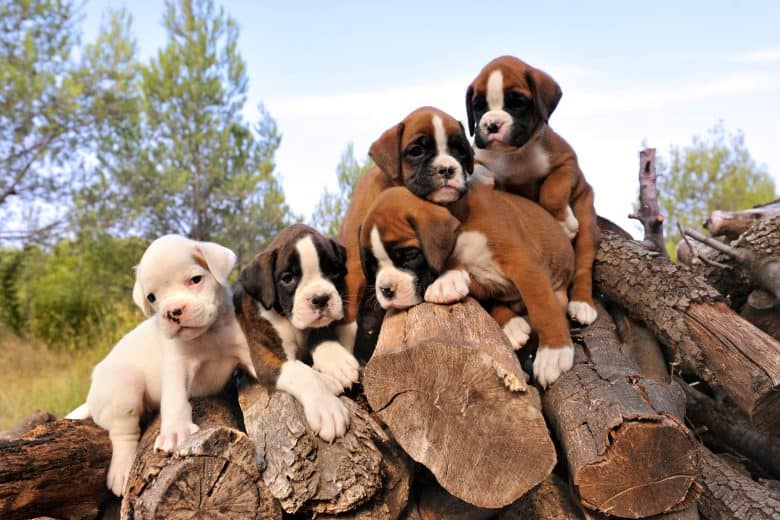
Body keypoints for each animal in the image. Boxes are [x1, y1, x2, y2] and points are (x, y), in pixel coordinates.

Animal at [66, 236, 256, 496]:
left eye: (195, 280)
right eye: (152, 297)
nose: (173, 312)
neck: (209, 333)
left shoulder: (244, 350)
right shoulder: (178, 365)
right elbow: (175, 400)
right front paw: (175, 432)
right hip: (125, 384)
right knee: (123, 433)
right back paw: (122, 470)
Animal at [233, 223, 358, 442]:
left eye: (334, 271)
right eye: (288, 278)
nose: (321, 298)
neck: (289, 320)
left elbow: (321, 335)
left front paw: (337, 362)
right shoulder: (270, 361)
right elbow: (304, 374)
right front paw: (327, 408)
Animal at [362, 185, 576, 388]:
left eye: (410, 256)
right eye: (372, 265)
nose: (386, 289)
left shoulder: (523, 263)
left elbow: (543, 309)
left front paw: (553, 353)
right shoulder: (480, 281)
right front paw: (447, 281)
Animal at [466, 54, 600, 328]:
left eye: (517, 102)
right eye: (478, 106)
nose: (492, 124)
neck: (513, 155)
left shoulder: (567, 163)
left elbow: (552, 190)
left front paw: (564, 223)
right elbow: (475, 167)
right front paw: (484, 176)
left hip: (586, 217)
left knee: (583, 264)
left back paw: (582, 304)